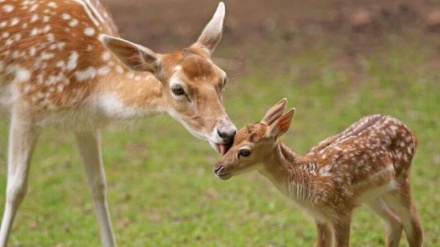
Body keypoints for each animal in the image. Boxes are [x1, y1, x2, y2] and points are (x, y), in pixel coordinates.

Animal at [0, 0, 235, 245]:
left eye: (223, 79)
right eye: (177, 89)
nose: (227, 132)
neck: (89, 84)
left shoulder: (84, 122)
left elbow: (98, 185)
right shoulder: (25, 104)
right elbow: (15, 189)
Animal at [215, 99, 424, 247]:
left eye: (245, 151)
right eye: (231, 141)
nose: (217, 168)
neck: (309, 179)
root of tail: (411, 132)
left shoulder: (341, 210)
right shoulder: (320, 216)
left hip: (401, 178)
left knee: (414, 227)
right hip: (372, 195)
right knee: (395, 223)